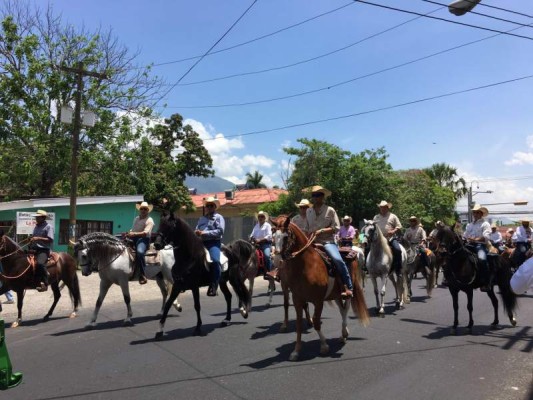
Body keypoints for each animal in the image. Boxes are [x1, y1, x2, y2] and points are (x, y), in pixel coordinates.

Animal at [274, 217, 366, 360]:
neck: (306, 266)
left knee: (346, 309)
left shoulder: (318, 301)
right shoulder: (297, 300)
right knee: (342, 310)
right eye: (273, 236)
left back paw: (343, 334)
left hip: (347, 292)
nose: (278, 260)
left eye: (285, 236)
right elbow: (299, 325)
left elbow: (317, 322)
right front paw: (296, 351)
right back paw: (344, 334)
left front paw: (324, 346)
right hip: (336, 294)